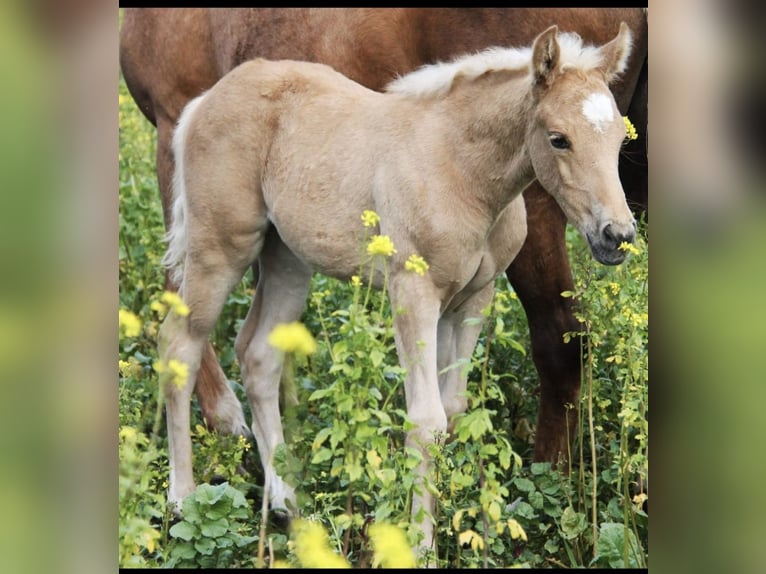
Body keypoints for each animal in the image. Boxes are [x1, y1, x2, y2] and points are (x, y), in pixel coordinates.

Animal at [159, 23, 640, 564]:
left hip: (286, 259)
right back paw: (180, 500)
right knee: (179, 345)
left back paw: (285, 505)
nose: (617, 235)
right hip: (219, 248)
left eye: (619, 138)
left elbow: (454, 413)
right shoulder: (414, 291)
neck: (460, 169)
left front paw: (459, 530)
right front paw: (421, 545)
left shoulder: (472, 300)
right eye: (559, 139)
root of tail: (203, 102)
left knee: (258, 355)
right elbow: (425, 420)